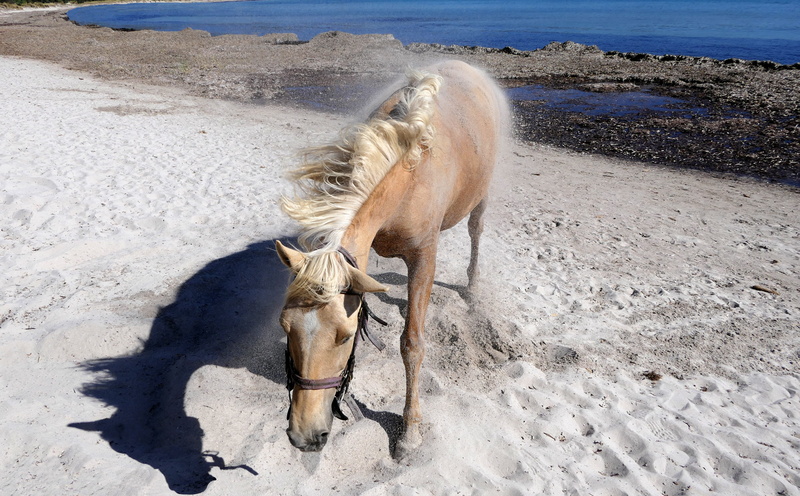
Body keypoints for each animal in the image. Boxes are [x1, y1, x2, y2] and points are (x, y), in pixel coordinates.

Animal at [276, 60, 509, 457]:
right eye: (286, 327)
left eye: (345, 337)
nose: (304, 436)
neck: (407, 174)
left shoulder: (423, 258)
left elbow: (412, 344)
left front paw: (410, 431)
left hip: (482, 194)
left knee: (476, 231)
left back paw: (472, 286)